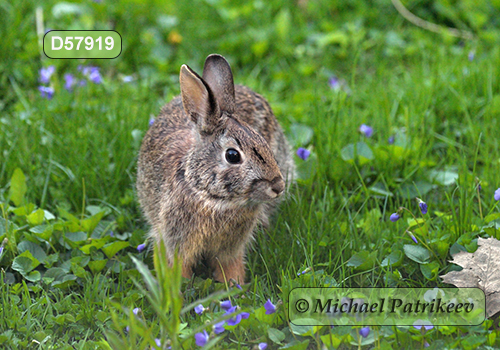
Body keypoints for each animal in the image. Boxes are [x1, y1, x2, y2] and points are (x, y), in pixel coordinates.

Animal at [135, 54, 294, 284]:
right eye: (232, 156)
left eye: (262, 140)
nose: (278, 186)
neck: (211, 197)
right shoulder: (174, 239)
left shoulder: (231, 247)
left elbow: (230, 265)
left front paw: (234, 285)